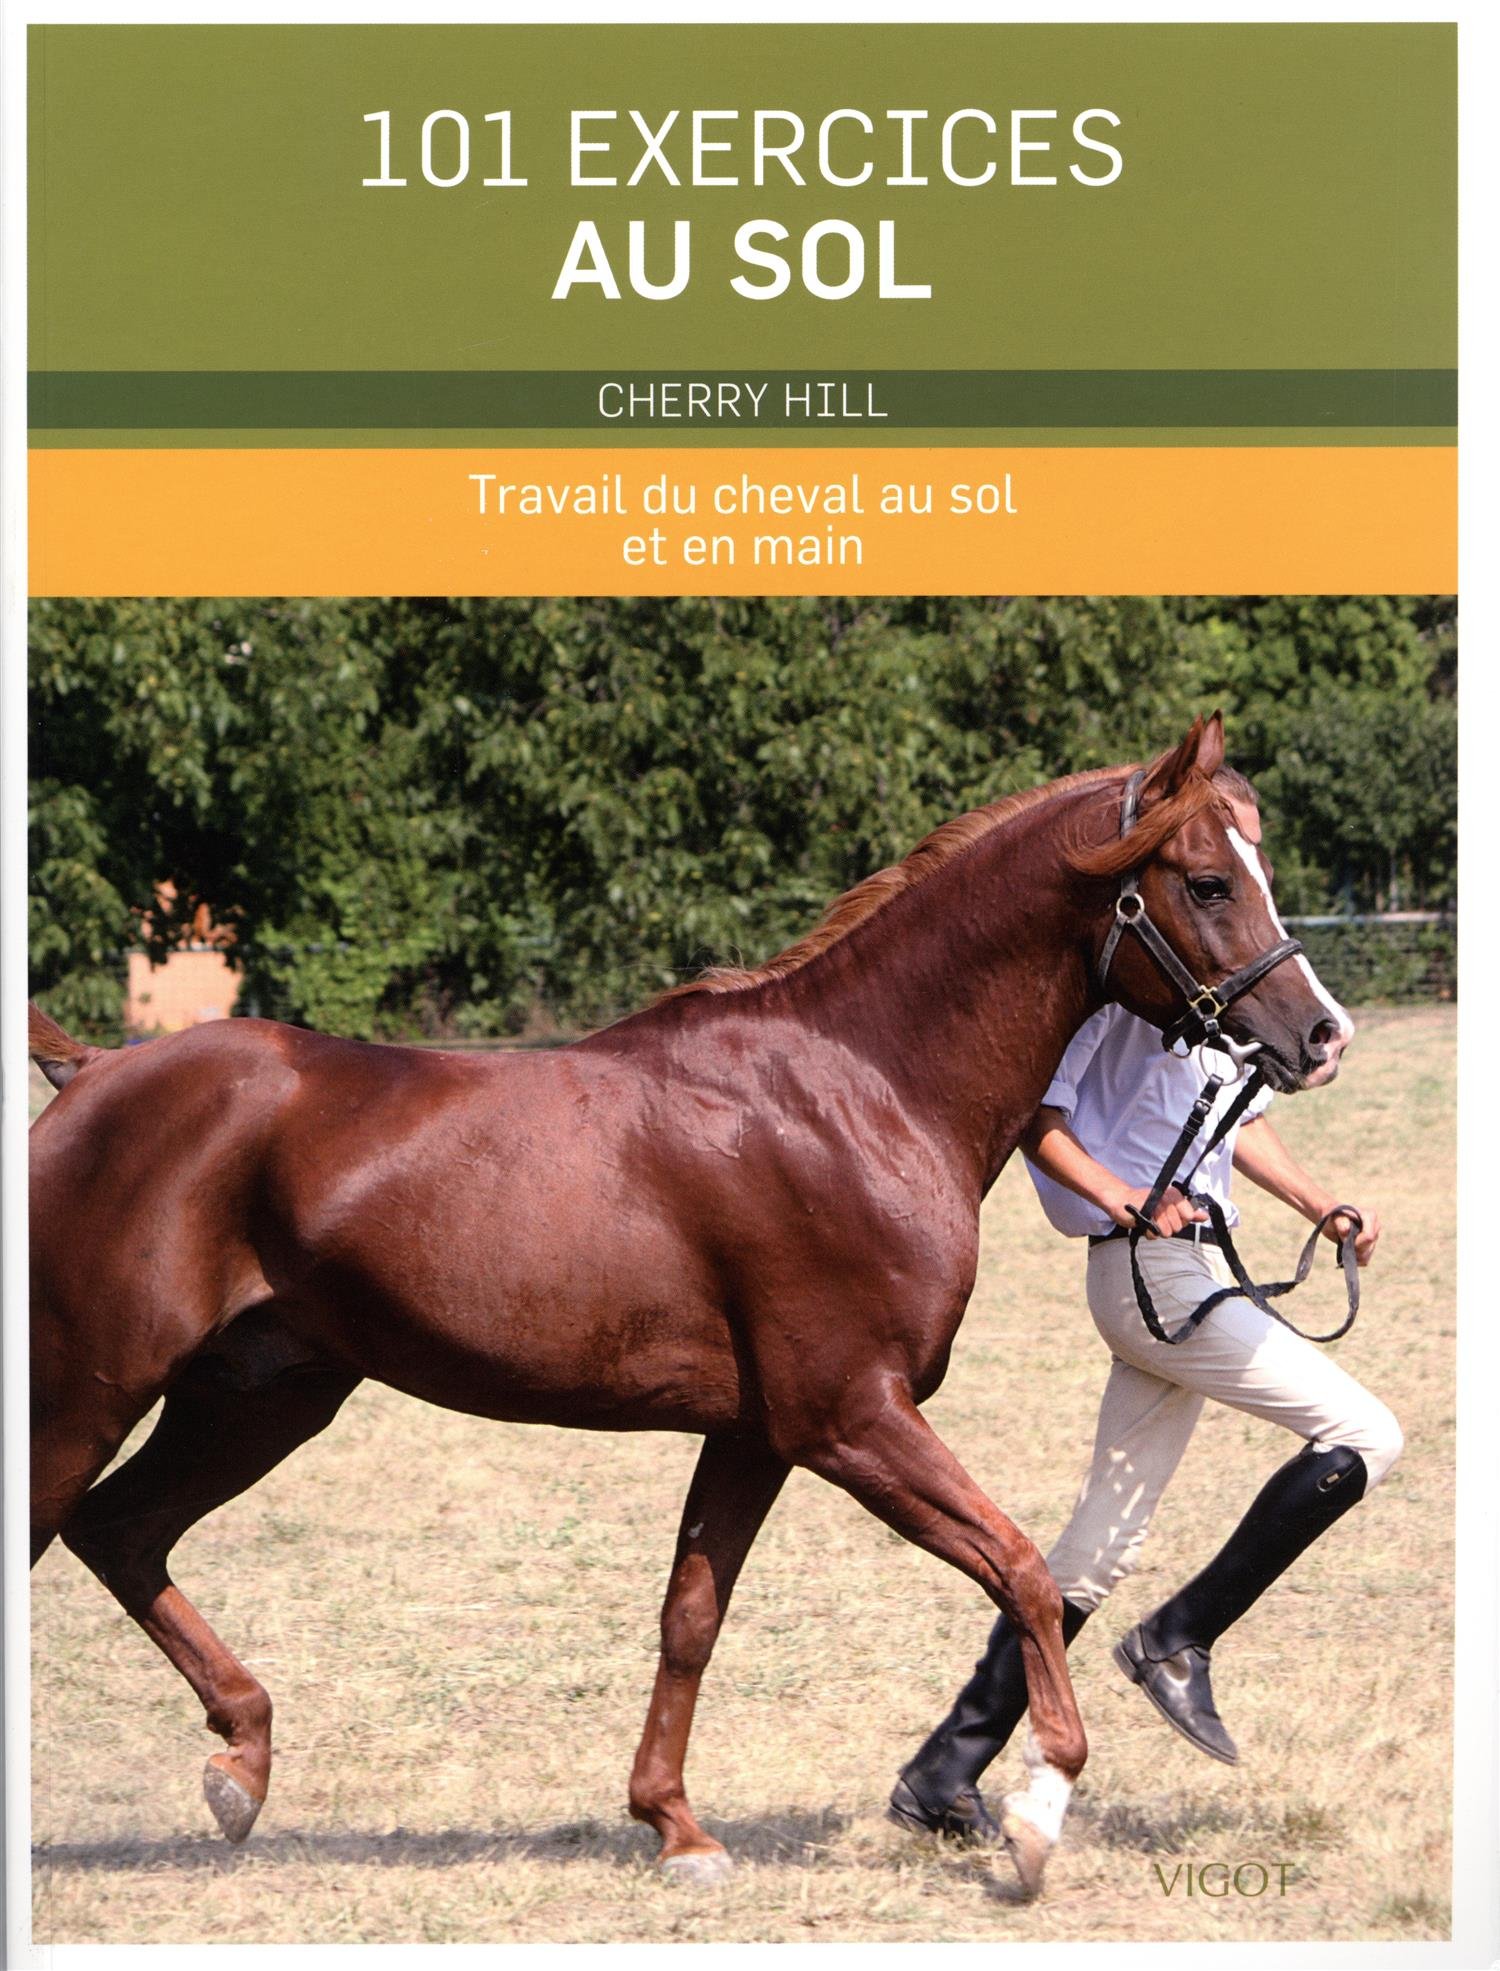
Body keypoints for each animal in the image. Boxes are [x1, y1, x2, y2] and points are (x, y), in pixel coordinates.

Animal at [28, 713, 1351, 1899]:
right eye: (1207, 882)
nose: (1318, 1036)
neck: (860, 1089)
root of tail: (94, 1073)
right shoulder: (851, 1418)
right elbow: (1022, 1569)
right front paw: (1034, 1816)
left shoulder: (755, 1436)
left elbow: (691, 1618)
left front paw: (674, 1827)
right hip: (88, 1397)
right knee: (73, 1527)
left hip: (261, 1398)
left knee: (122, 1533)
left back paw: (241, 1765)